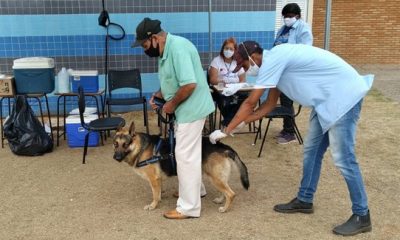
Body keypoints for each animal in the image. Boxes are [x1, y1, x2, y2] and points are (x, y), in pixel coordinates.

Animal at [113, 122, 250, 212]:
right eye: (115, 144)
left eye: (125, 145)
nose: (116, 158)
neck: (140, 147)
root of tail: (222, 146)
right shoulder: (158, 180)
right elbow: (158, 192)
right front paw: (159, 199)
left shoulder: (153, 179)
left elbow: (155, 194)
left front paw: (153, 205)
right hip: (217, 177)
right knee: (225, 191)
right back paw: (220, 200)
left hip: (215, 177)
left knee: (231, 194)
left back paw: (224, 208)